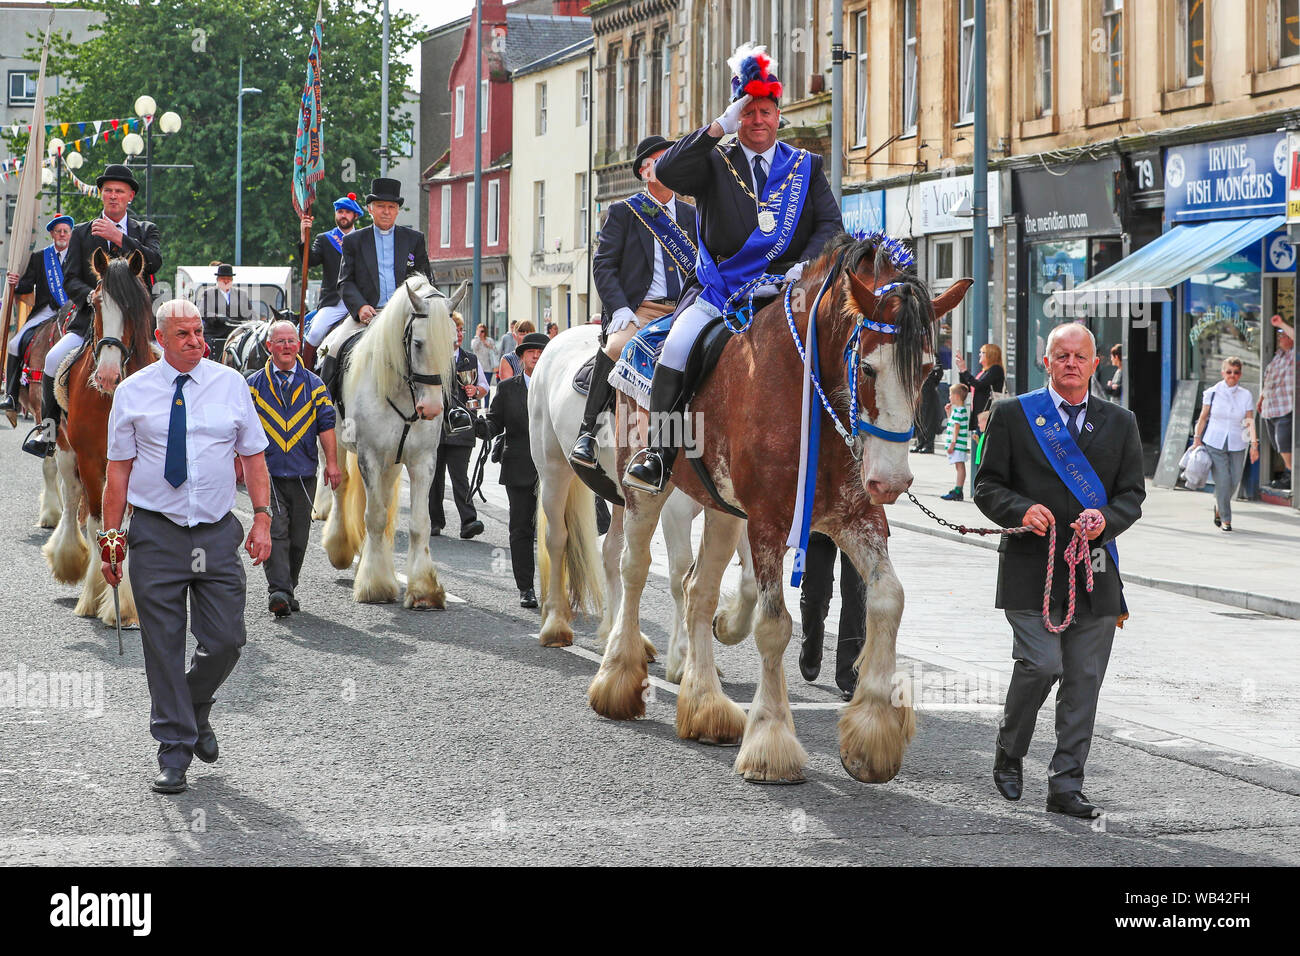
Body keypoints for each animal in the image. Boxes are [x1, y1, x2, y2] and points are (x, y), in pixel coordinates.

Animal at [321, 277, 460, 606]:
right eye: (418, 343)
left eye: (453, 343)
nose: (431, 408)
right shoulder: (369, 455)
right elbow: (374, 517)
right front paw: (375, 585)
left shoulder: (421, 460)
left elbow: (419, 523)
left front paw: (423, 588)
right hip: (336, 444)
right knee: (340, 485)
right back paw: (339, 548)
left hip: (392, 463)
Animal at [525, 325, 759, 686]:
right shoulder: (676, 510)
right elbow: (681, 576)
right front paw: (682, 660)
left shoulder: (738, 512)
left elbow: (749, 582)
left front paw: (726, 627)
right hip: (553, 471)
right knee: (557, 540)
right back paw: (556, 625)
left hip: (624, 499)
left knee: (613, 554)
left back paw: (617, 635)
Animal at [595, 234, 972, 785]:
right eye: (868, 368)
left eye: (929, 370)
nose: (892, 481)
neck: (810, 394)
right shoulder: (770, 522)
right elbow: (774, 626)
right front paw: (770, 742)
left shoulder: (854, 518)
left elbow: (888, 597)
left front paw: (873, 731)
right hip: (644, 490)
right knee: (634, 569)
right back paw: (618, 678)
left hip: (724, 510)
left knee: (698, 590)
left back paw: (706, 706)